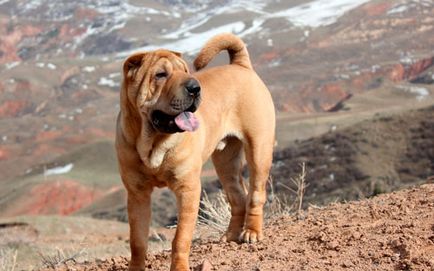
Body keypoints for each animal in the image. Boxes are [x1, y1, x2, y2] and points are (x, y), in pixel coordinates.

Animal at [116, 33, 274, 270]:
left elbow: (181, 237)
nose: (195, 87)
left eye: (185, 71)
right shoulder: (137, 194)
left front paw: (180, 267)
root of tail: (241, 66)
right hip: (226, 163)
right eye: (160, 75)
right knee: (238, 196)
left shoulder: (187, 189)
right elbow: (137, 241)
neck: (153, 142)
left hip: (259, 149)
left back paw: (251, 232)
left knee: (255, 193)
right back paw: (230, 236)